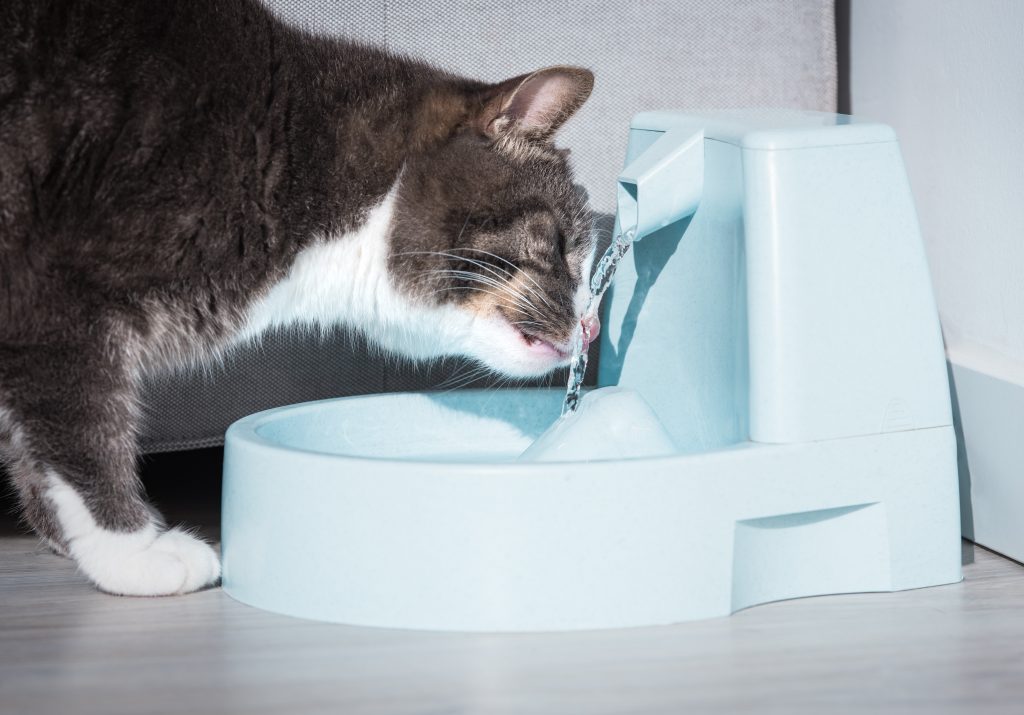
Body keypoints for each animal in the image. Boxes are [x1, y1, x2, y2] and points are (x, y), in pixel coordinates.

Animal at [0, 0, 598, 590]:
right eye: (562, 245)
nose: (590, 326)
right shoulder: (53, 296)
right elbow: (81, 431)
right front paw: (130, 552)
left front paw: (70, 539)